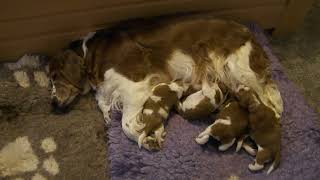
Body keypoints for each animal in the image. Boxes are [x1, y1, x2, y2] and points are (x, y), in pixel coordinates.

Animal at [47, 18, 282, 150]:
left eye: (55, 76)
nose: (53, 104)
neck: (91, 53)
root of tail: (250, 33)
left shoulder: (136, 83)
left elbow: (126, 125)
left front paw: (146, 138)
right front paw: (155, 132)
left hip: (238, 69)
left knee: (268, 105)